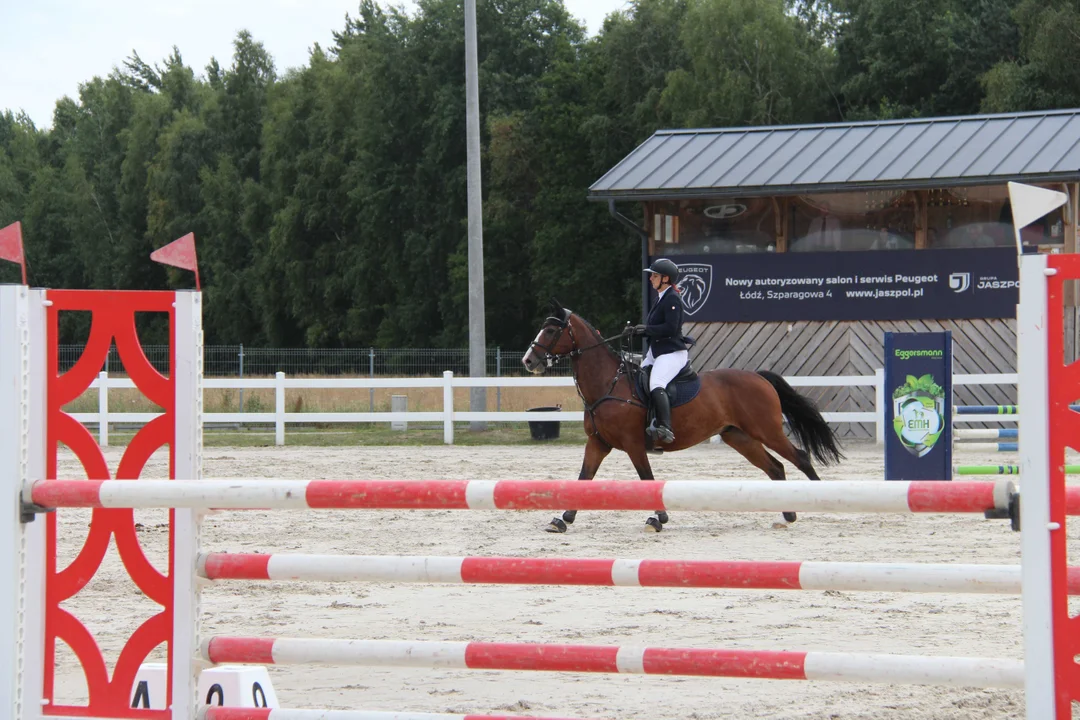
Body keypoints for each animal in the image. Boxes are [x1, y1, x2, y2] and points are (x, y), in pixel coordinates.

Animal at [520, 297, 842, 528]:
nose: (528, 360)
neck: (608, 383)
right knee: (775, 468)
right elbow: (583, 478)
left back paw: (827, 504)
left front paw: (658, 518)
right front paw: (563, 518)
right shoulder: (597, 443)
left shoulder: (634, 444)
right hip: (739, 437)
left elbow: (647, 479)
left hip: (767, 431)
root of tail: (758, 377)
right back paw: (788, 513)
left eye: (551, 330)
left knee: (800, 458)